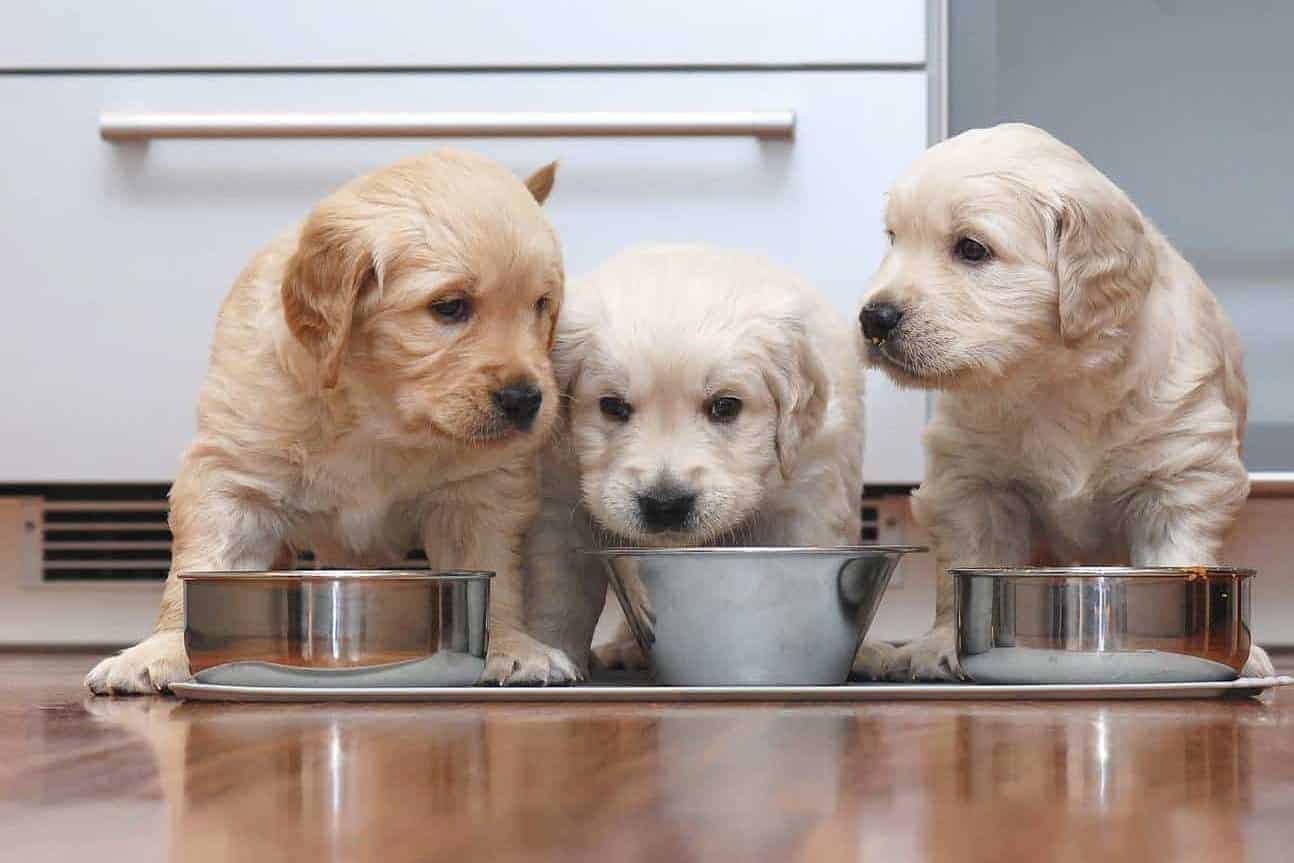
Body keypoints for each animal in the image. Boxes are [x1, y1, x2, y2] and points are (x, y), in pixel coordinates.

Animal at [86, 148, 577, 693]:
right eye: (449, 307)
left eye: (542, 304)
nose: (526, 400)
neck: (376, 414)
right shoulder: (232, 477)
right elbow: (198, 567)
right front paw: (162, 648)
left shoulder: (480, 490)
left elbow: (493, 570)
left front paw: (511, 645)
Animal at [525, 243, 869, 672]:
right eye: (612, 406)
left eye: (725, 406)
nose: (665, 504)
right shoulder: (558, 501)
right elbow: (559, 596)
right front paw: (545, 656)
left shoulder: (807, 496)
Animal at [854, 122, 1268, 683]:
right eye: (894, 238)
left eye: (972, 249)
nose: (872, 318)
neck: (1052, 379)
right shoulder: (970, 482)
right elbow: (961, 564)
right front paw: (940, 645)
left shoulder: (1183, 474)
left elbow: (1178, 551)